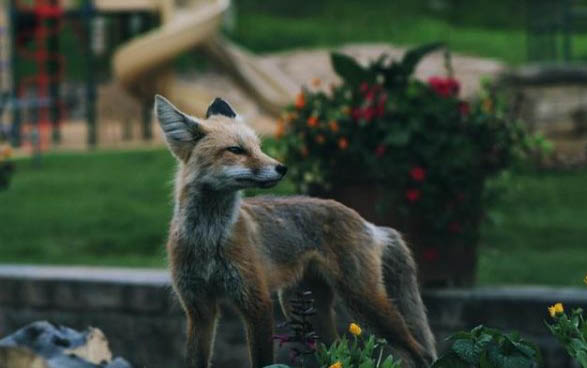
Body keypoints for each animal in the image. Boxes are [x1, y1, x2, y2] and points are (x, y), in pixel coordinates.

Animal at [154, 95, 438, 368]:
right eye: (236, 150)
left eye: (258, 147)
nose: (282, 168)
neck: (208, 239)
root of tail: (368, 222)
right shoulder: (198, 309)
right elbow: (195, 360)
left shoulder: (257, 302)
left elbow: (263, 361)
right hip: (302, 307)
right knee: (338, 353)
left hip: (365, 302)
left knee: (419, 353)